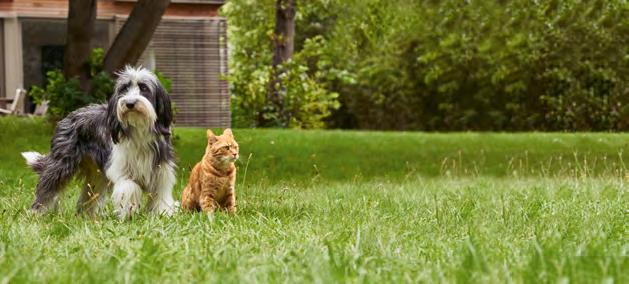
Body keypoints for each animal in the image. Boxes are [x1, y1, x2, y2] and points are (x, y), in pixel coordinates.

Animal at [21, 65, 175, 219]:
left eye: (144, 88)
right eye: (124, 89)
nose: (129, 103)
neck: (139, 130)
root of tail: (70, 115)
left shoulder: (161, 172)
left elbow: (161, 195)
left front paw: (163, 214)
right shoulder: (122, 170)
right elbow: (129, 188)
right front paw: (127, 215)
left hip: (96, 174)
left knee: (88, 196)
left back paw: (87, 216)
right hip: (60, 165)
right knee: (48, 188)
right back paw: (36, 212)